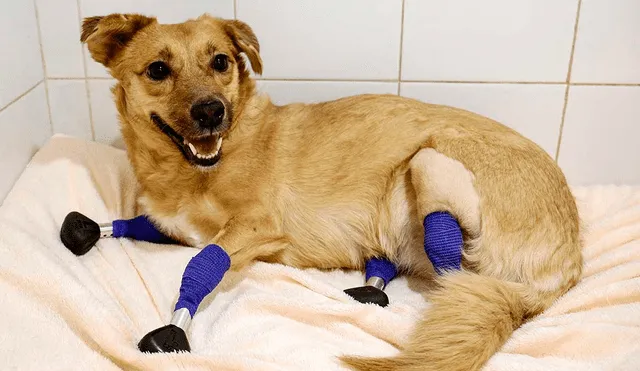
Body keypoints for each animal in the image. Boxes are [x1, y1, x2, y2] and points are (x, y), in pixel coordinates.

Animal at [81, 13, 584, 371]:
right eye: (157, 70)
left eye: (220, 61)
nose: (211, 112)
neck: (192, 170)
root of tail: (568, 265)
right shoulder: (179, 225)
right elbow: (151, 227)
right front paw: (90, 228)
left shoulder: (256, 225)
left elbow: (205, 260)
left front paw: (174, 326)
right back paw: (371, 284)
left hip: (428, 160)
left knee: (450, 269)